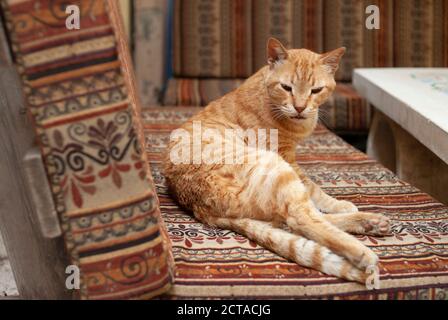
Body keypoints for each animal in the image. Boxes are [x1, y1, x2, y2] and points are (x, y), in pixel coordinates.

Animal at [163, 38, 390, 284]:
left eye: (316, 90)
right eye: (287, 87)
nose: (300, 107)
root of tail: (199, 206)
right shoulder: (287, 158)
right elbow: (315, 189)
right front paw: (337, 203)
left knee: (297, 220)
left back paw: (371, 223)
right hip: (277, 168)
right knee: (303, 219)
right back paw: (363, 252)